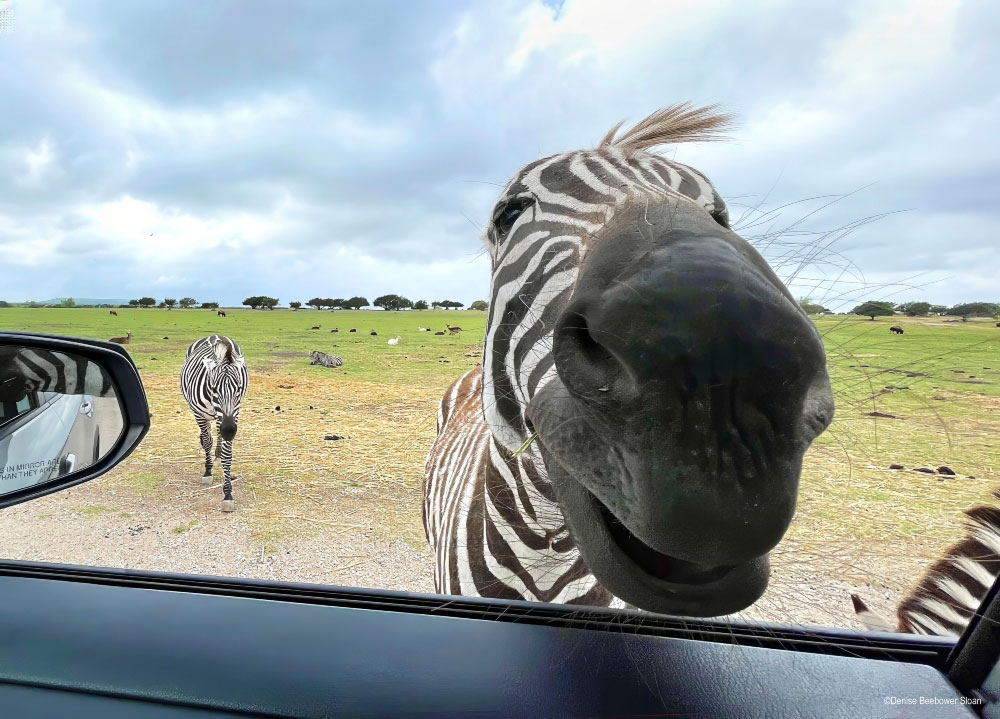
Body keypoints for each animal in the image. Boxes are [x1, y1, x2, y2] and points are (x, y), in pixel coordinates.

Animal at [180, 335, 248, 512]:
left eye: (239, 389)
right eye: (214, 388)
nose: (229, 431)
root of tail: (214, 336)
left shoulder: (234, 413)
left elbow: (227, 453)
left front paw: (228, 494)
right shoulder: (199, 414)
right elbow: (206, 441)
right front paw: (208, 472)